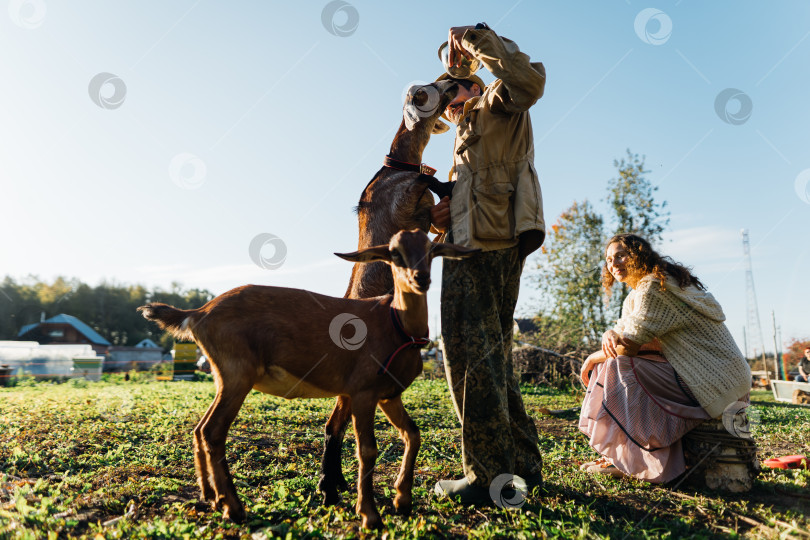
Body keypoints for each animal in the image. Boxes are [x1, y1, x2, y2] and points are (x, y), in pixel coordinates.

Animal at [137, 230, 476, 528]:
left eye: (432, 250)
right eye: (394, 253)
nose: (421, 279)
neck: (396, 326)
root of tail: (198, 313)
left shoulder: (389, 395)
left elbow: (413, 434)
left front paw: (402, 500)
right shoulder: (363, 392)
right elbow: (367, 450)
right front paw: (369, 515)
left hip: (226, 379)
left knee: (200, 429)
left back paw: (211, 496)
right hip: (237, 375)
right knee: (212, 431)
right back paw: (233, 508)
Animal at [318, 77, 460, 506]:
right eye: (430, 88)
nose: (452, 81)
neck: (396, 167)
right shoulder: (408, 207)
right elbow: (428, 187)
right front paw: (445, 182)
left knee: (336, 423)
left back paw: (336, 481)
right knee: (333, 424)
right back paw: (329, 485)